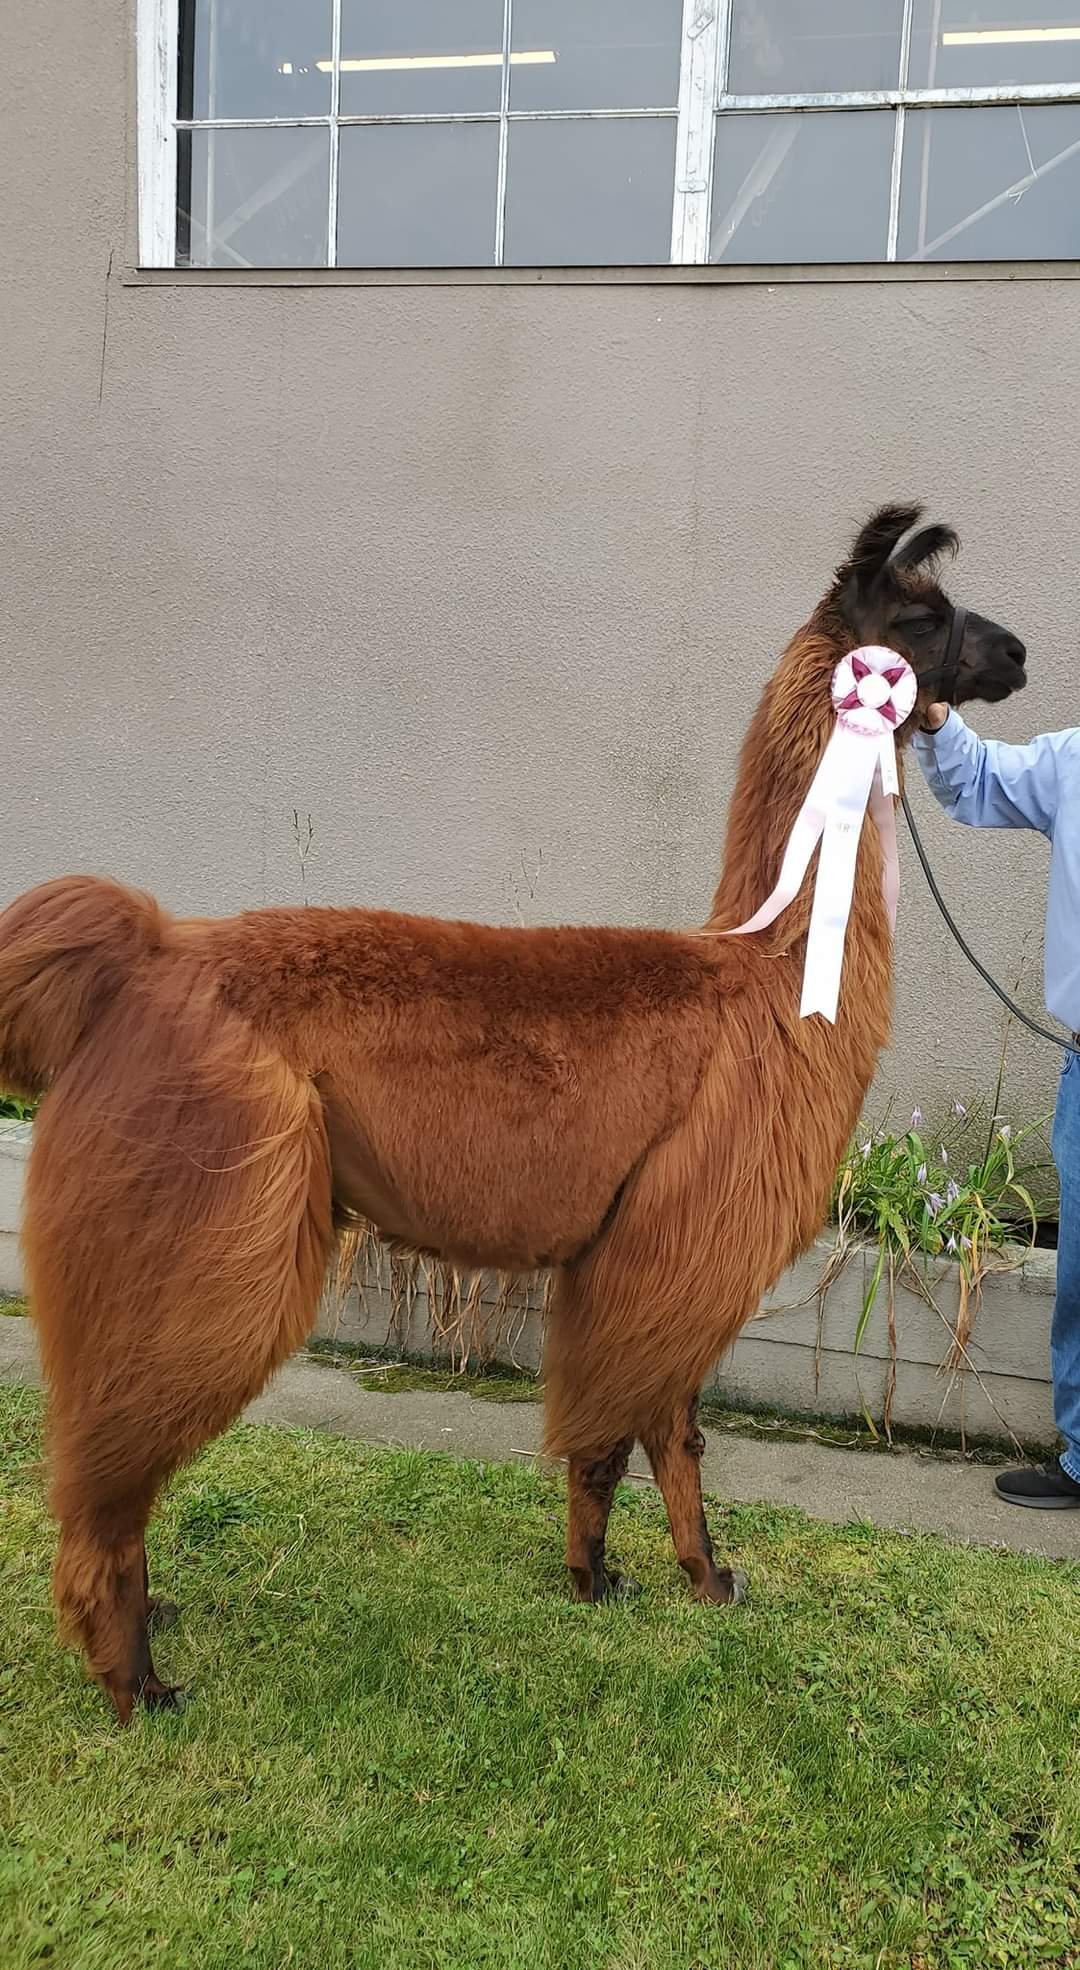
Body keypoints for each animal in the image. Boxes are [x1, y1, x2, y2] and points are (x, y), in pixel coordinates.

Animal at [0, 504, 1027, 1721]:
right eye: (921, 619)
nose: (1018, 653)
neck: (769, 978)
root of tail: (140, 957)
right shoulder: (681, 1234)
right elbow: (643, 1428)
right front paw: (659, 1577)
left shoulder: (654, 1245)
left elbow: (654, 1431)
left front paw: (645, 1576)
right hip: (204, 1215)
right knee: (108, 1470)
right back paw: (136, 1684)